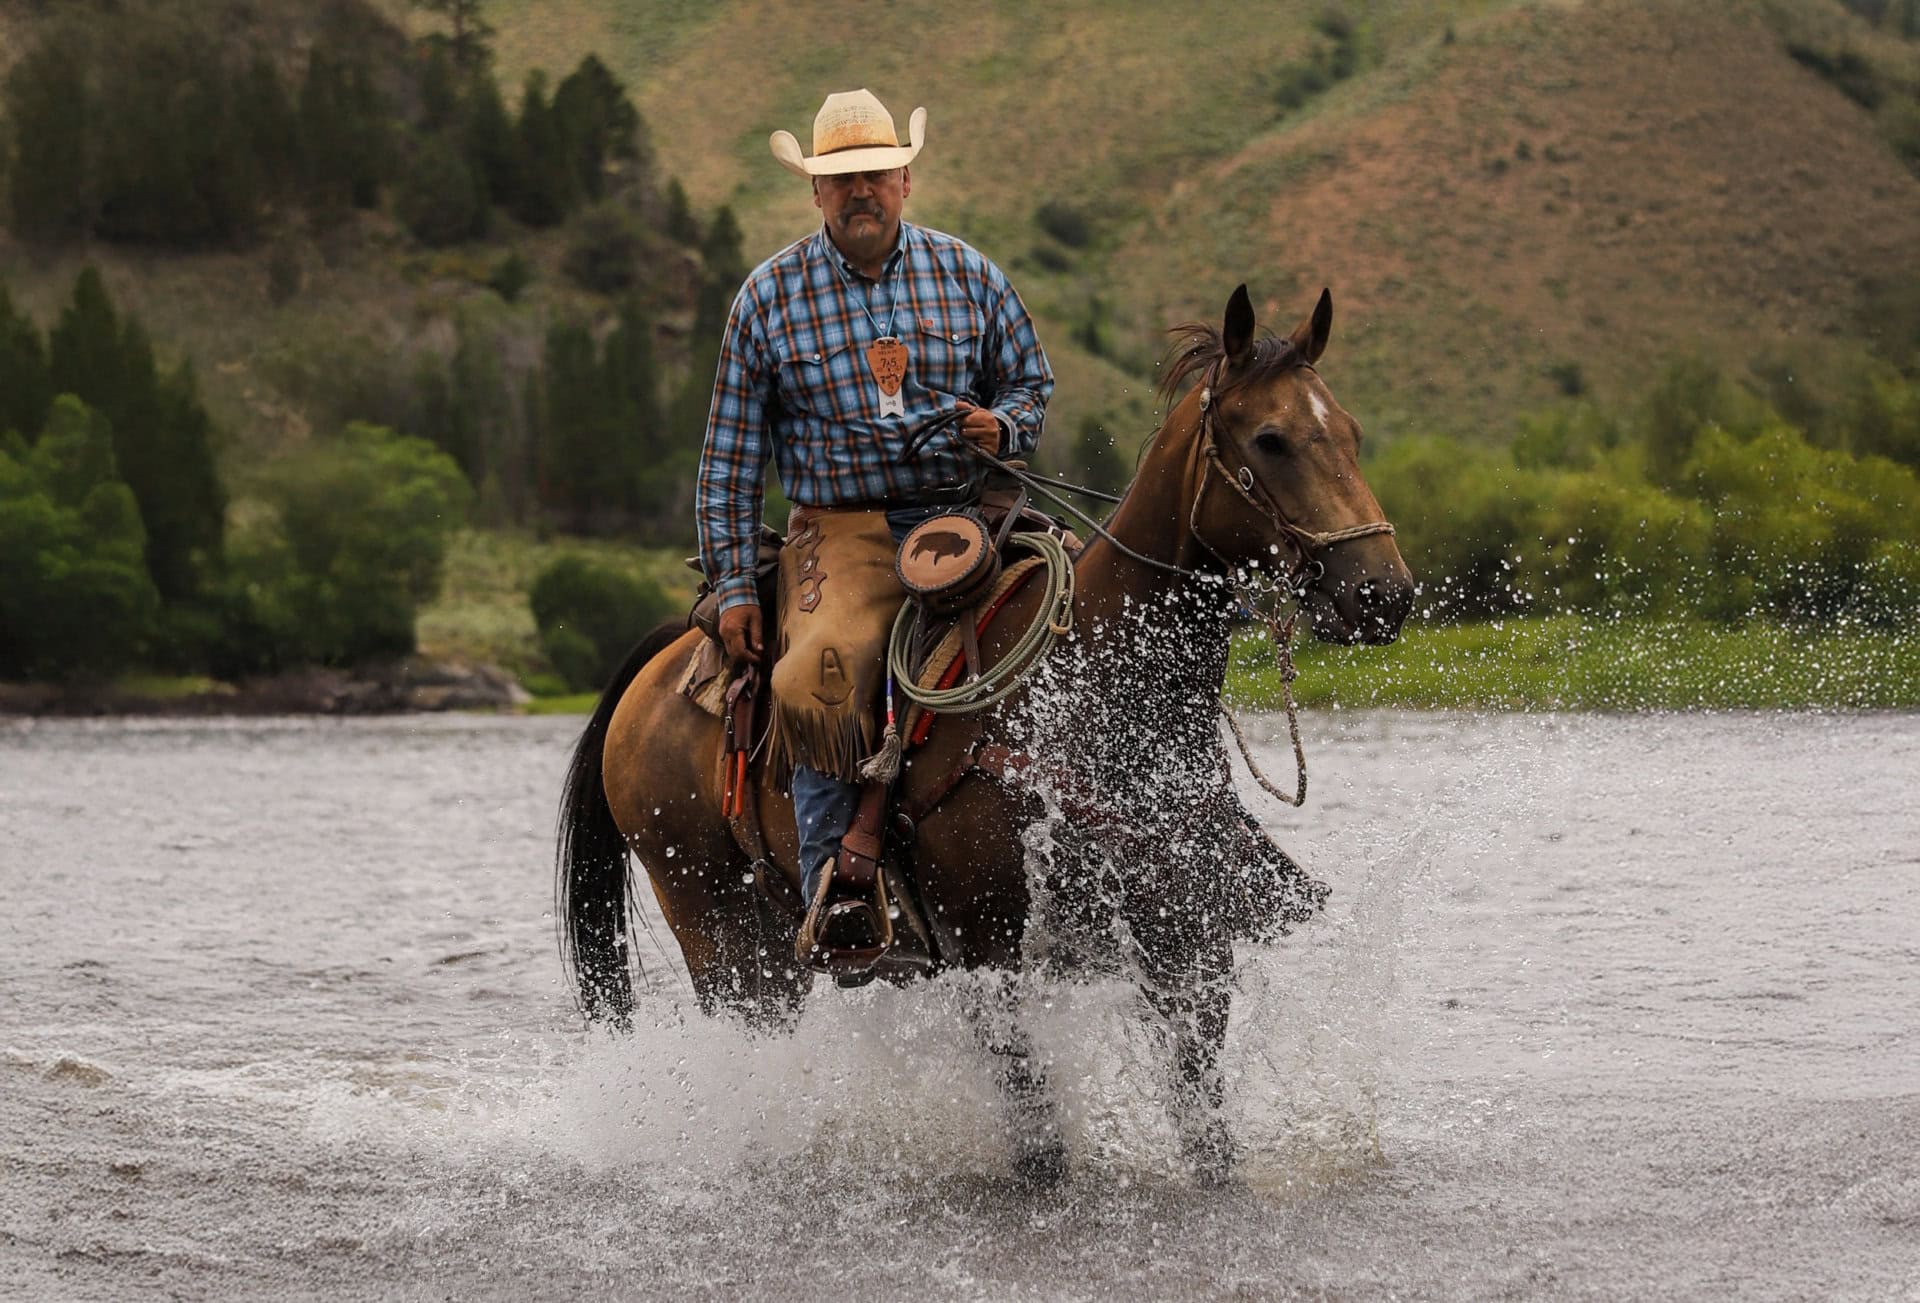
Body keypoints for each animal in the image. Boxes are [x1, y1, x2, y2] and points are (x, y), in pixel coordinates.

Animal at [555, 286, 1413, 1181]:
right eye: (1271, 438)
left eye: (1351, 432)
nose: (1384, 592)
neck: (1097, 690)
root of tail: (669, 656)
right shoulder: (988, 950)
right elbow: (1038, 1141)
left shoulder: (1186, 944)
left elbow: (1206, 1123)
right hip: (723, 940)